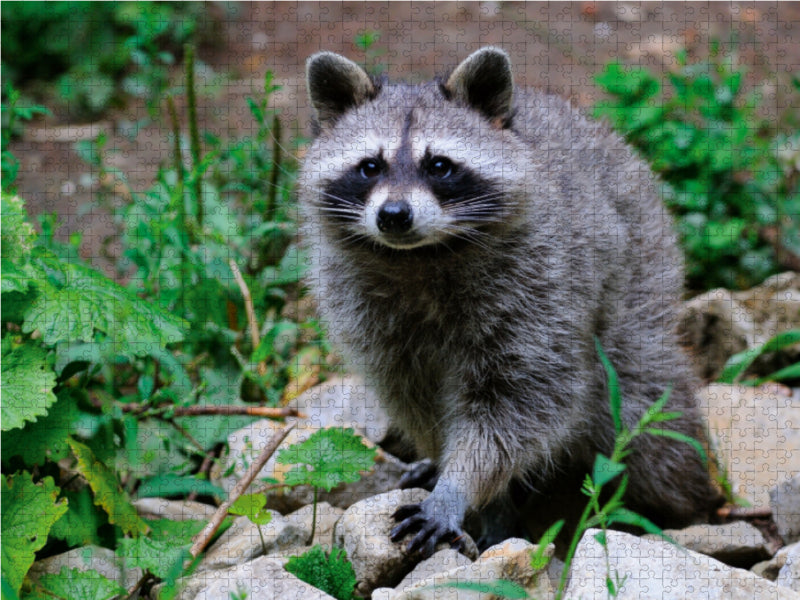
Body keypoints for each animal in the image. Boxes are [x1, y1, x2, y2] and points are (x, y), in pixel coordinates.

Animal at [298, 47, 722, 557]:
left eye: (439, 165)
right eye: (369, 167)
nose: (394, 216)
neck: (419, 257)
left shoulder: (540, 287)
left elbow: (521, 402)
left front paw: (459, 486)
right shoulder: (369, 315)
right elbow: (415, 399)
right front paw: (466, 482)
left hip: (640, 272)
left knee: (648, 415)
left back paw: (689, 504)